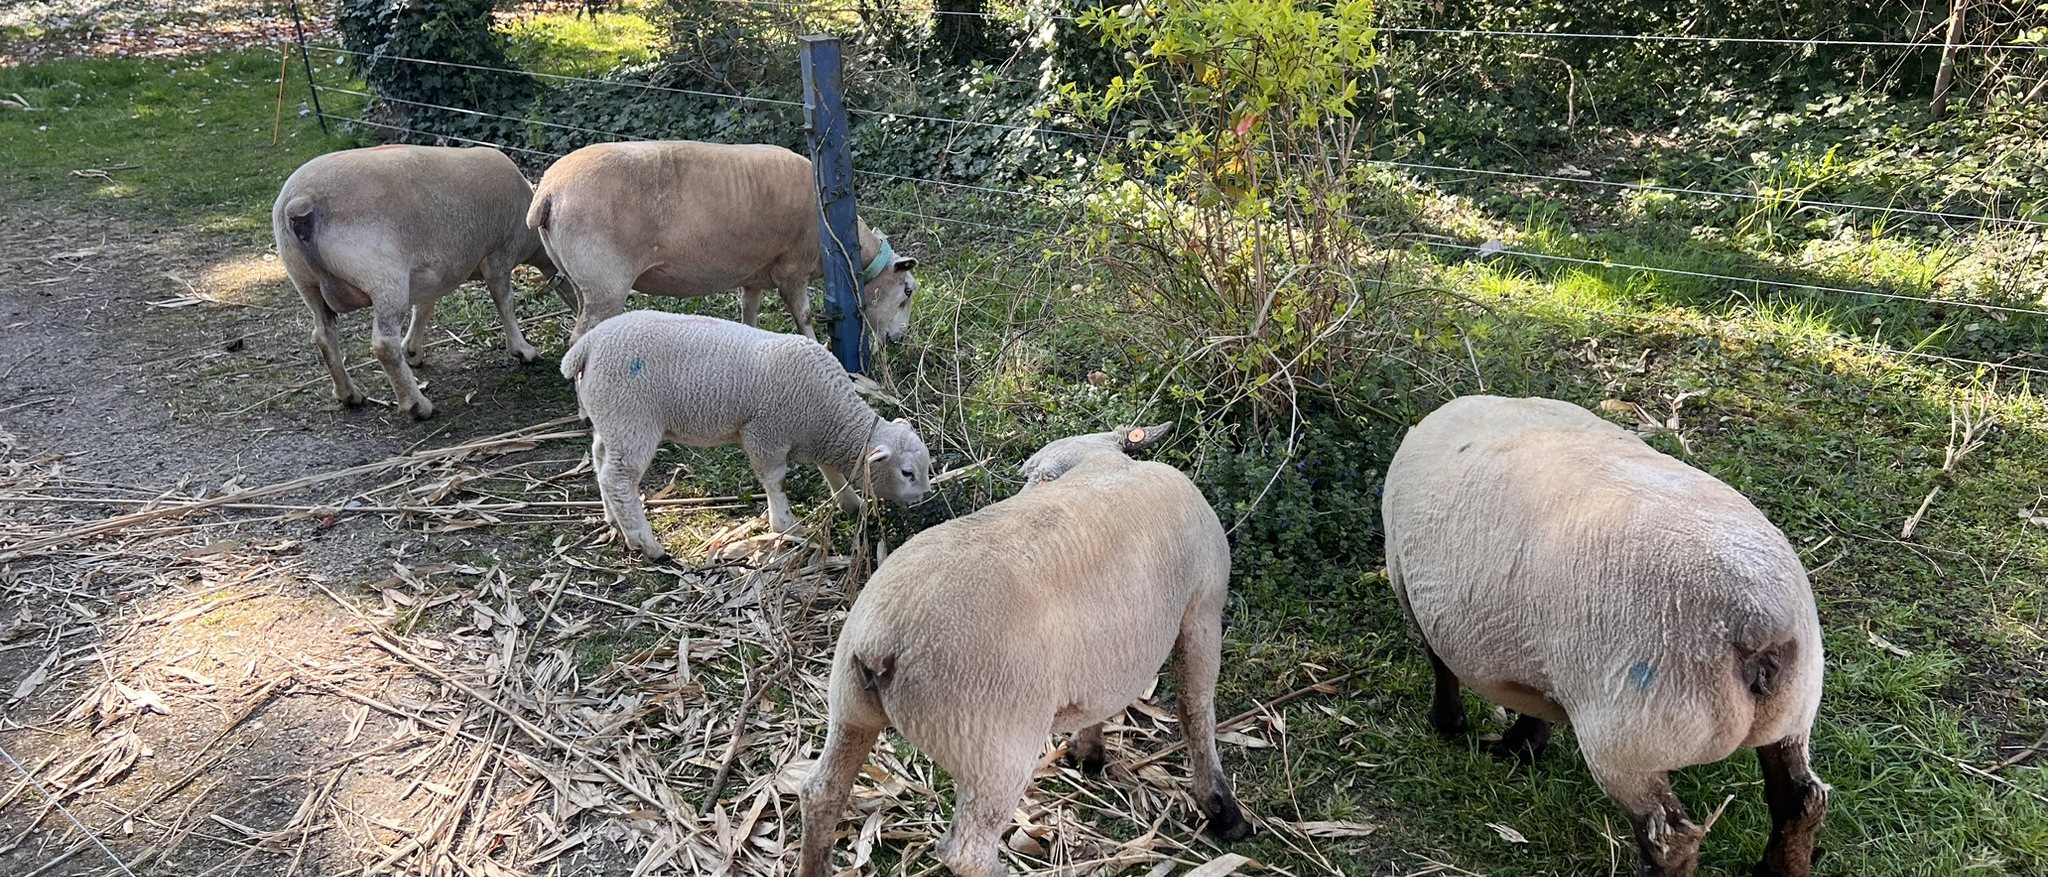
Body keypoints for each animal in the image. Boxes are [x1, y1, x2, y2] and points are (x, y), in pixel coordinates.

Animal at [272, 144, 561, 420]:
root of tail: (301, 202)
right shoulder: (499, 253)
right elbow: (505, 301)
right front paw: (523, 350)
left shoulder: (431, 275)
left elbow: (423, 308)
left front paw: (412, 351)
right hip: (384, 276)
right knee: (383, 344)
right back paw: (416, 405)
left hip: (306, 282)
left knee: (323, 335)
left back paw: (349, 394)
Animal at [526, 139, 920, 344]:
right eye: (907, 291)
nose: (898, 340)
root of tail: (548, 192)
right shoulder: (792, 269)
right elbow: (804, 316)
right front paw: (816, 346)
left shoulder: (754, 276)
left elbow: (749, 313)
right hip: (606, 281)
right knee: (579, 338)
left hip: (582, 279)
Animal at [558, 310, 930, 559]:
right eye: (907, 473)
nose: (924, 498)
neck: (831, 415)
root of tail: (587, 346)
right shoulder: (765, 435)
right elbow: (776, 480)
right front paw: (786, 526)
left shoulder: (814, 438)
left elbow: (833, 472)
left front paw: (851, 503)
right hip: (632, 419)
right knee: (619, 480)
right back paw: (647, 544)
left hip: (611, 419)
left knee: (601, 462)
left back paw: (614, 520)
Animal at [797, 422, 1251, 877]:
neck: (1103, 462)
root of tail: (885, 639)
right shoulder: (1202, 609)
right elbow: (1195, 708)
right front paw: (1222, 809)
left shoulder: (1108, 656)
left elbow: (1107, 702)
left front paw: (1087, 752)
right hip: (994, 749)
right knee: (967, 852)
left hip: (849, 707)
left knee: (820, 793)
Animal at [1381, 395, 1827, 877]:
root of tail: (1758, 623)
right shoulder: (1537, 652)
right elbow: (1531, 701)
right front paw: (1523, 746)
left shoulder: (1412, 587)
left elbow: (1439, 664)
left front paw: (1449, 724)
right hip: (1792, 715)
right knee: (1801, 803)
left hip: (1627, 738)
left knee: (1670, 839)